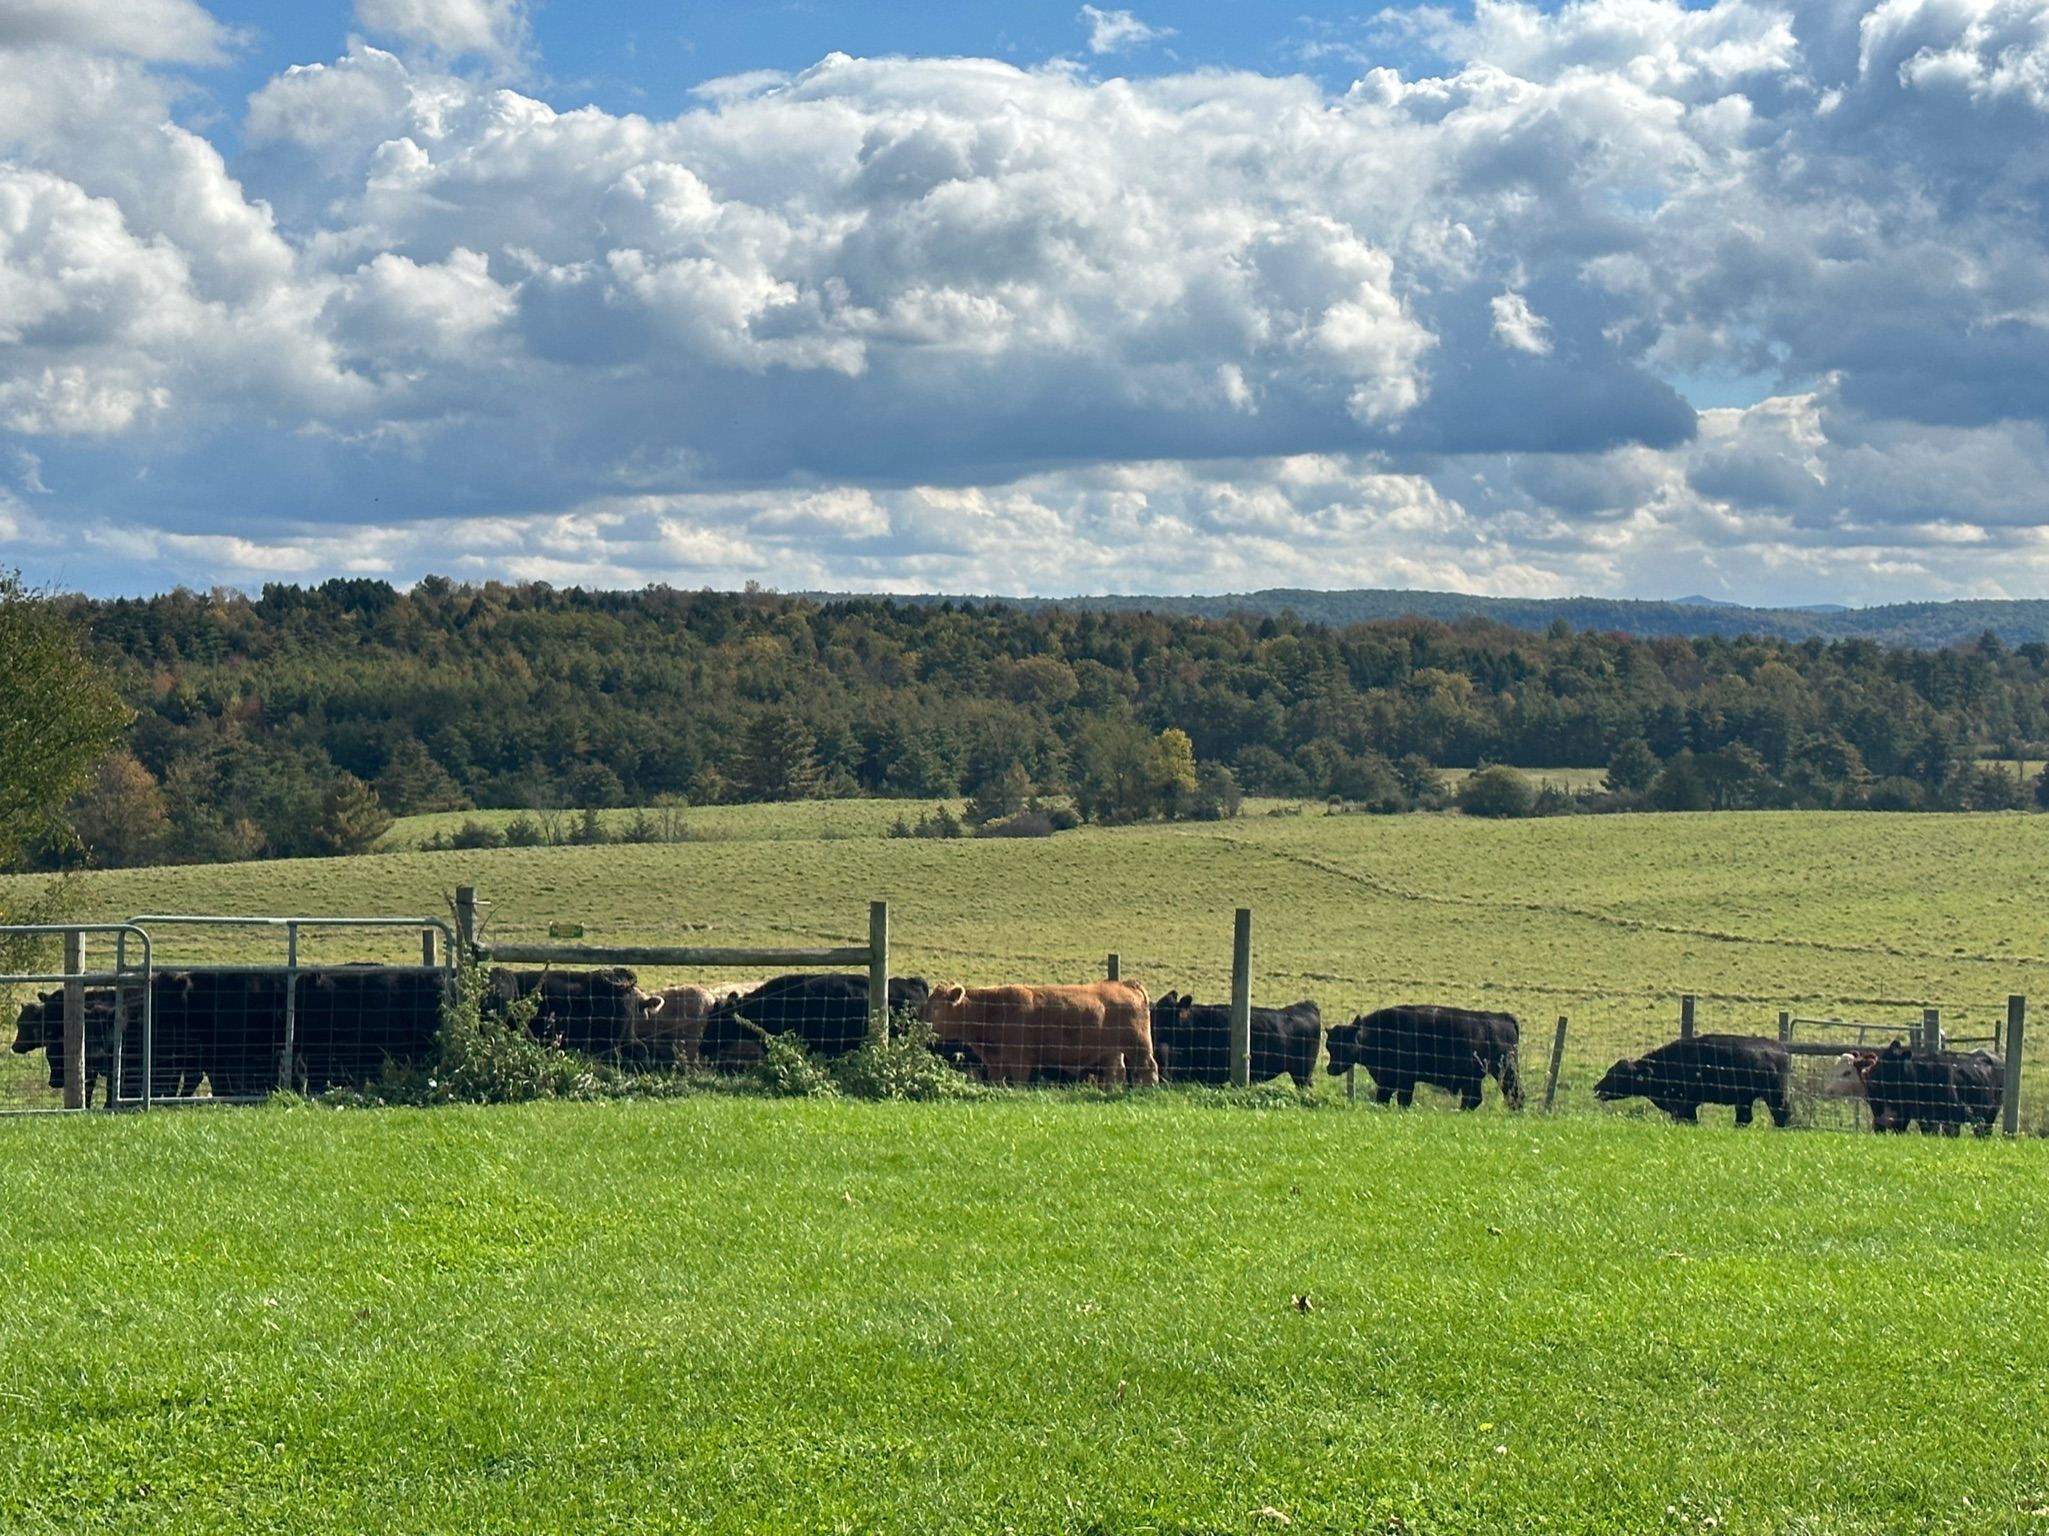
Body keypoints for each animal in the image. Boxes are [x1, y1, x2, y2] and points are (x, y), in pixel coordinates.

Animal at [921, 981, 1158, 1087]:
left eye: (936, 1007)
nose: (920, 1021)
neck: (993, 1009)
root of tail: (1126, 984)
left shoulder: (1020, 1060)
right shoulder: (996, 1063)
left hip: (1138, 1047)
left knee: (1149, 1068)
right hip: (1112, 1052)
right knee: (1116, 1073)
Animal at [1325, 1005, 1522, 1110]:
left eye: (1345, 1043)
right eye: (1329, 1045)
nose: (1330, 1068)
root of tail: (1503, 1017)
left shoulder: (1404, 1080)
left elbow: (1402, 1099)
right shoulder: (1388, 1080)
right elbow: (1383, 1098)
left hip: (1503, 1072)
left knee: (1513, 1093)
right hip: (1474, 1079)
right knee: (1475, 1098)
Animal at [1593, 1034, 1791, 1126]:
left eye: (1618, 1075)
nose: (1596, 1087)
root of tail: (1779, 1048)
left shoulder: (1683, 1105)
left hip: (1775, 1095)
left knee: (1781, 1114)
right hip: (1744, 1100)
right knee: (1744, 1119)